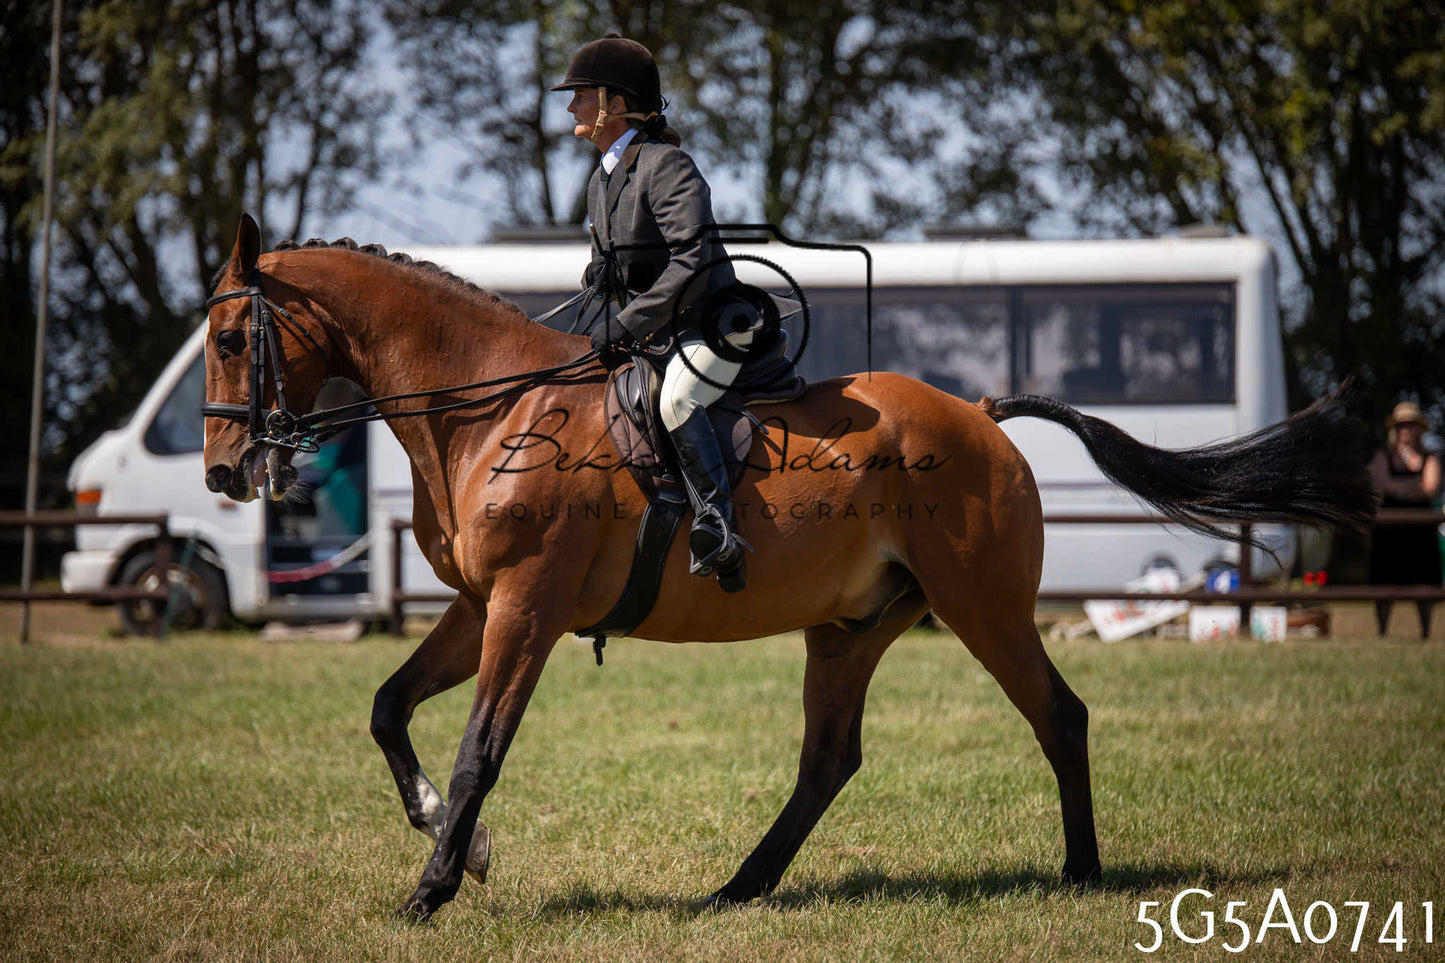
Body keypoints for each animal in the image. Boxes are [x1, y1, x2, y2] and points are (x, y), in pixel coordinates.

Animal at [201, 215, 1373, 921]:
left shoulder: (524, 608)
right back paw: (738, 887)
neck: (489, 406)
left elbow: (480, 747)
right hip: (851, 626)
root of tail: (979, 413)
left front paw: (434, 885)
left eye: (226, 340)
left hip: (982, 605)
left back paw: (1079, 875)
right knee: (829, 758)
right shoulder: (478, 604)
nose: (221, 471)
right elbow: (389, 708)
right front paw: (459, 842)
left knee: (1057, 715)